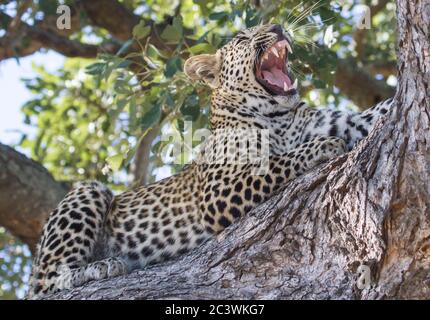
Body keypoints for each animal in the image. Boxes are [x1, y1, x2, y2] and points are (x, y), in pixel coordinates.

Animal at [27, 23, 394, 298]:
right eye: (243, 38)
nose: (277, 27)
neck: (279, 115)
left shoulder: (346, 122)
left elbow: (377, 112)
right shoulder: (218, 188)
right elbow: (278, 162)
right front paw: (321, 147)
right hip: (87, 194)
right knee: (48, 280)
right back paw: (102, 267)